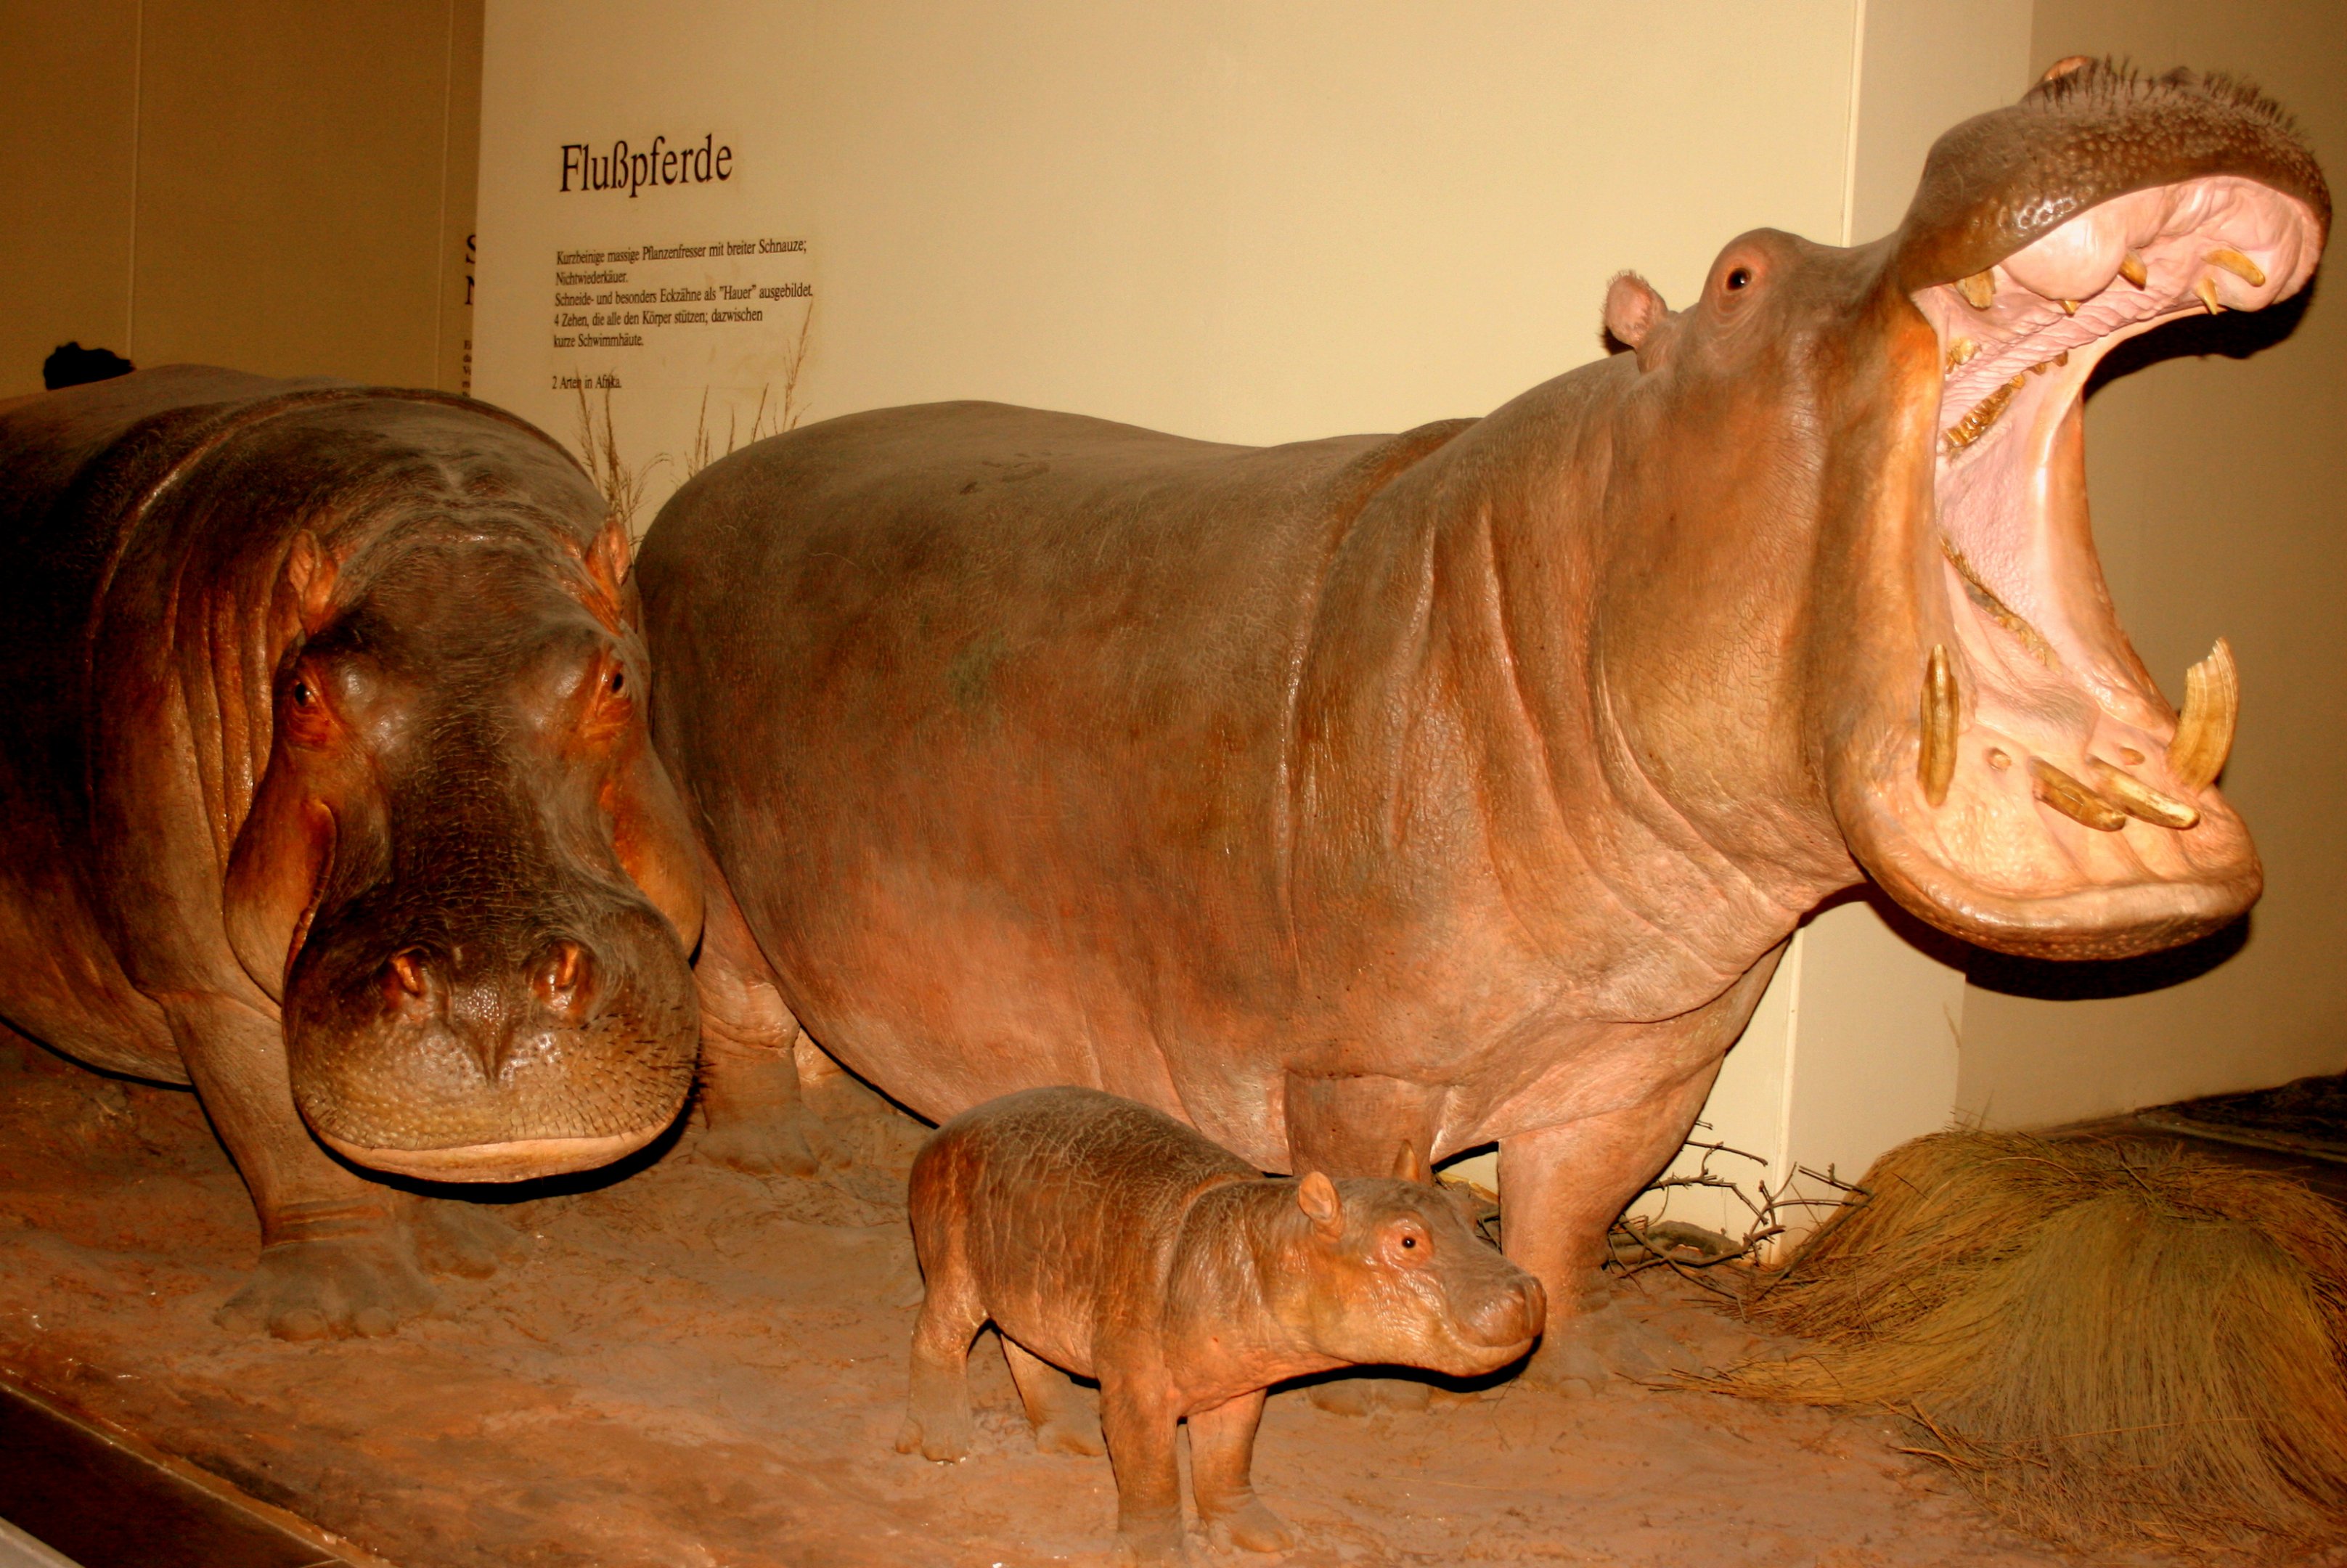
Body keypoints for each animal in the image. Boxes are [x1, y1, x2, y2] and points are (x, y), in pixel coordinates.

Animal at [0, 367, 818, 1339]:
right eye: (301, 693)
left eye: (616, 678)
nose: (488, 1005)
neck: (439, 520)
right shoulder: (198, 977)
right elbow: (280, 1130)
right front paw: (344, 1309)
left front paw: (468, 1246)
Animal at [635, 62, 2331, 1370]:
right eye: (1738, 273)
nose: (2074, 75)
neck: (1562, 566)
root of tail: (674, 509)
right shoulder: (1353, 1068)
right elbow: (1368, 1186)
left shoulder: (1647, 1057)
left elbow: (1571, 1209)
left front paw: (1556, 1340)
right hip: (715, 863)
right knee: (736, 1009)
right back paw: (776, 1158)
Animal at [898, 1086, 1544, 1562]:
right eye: (1407, 1240)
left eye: (1464, 1212)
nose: (1529, 1290)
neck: (1256, 1245)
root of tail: (944, 1130)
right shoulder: (1137, 1389)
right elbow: (1151, 1473)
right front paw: (1158, 1558)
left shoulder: (1237, 1383)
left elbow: (1227, 1458)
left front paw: (1263, 1537)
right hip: (954, 1262)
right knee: (937, 1337)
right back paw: (944, 1444)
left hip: (1027, 1279)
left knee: (1024, 1347)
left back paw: (1072, 1438)